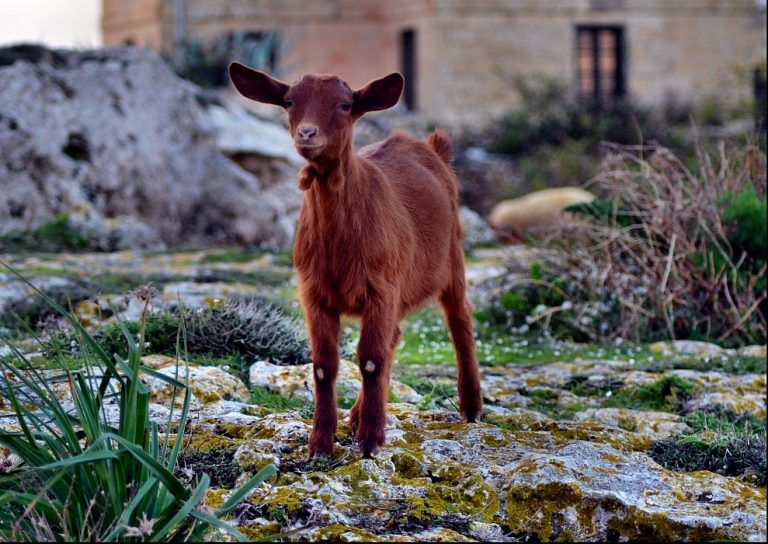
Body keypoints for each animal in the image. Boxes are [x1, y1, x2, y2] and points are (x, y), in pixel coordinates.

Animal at [229, 62, 483, 457]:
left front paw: (372, 441)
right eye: (289, 101)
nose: (307, 133)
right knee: (395, 337)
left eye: (345, 105)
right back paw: (356, 416)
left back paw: (470, 407)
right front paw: (320, 441)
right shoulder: (315, 294)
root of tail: (428, 147)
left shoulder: (382, 288)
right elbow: (325, 365)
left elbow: (371, 360)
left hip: (451, 260)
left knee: (460, 321)